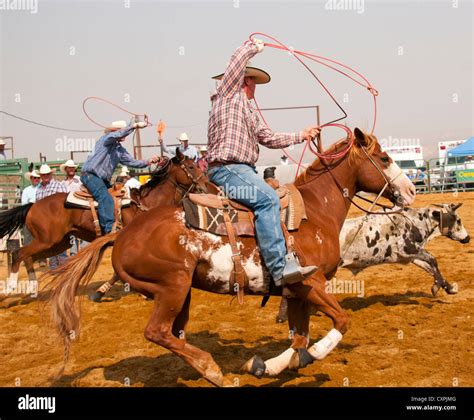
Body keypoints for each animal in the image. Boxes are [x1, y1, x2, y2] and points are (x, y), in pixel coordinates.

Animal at [0, 150, 207, 292]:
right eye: (191, 167)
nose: (205, 185)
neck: (145, 203)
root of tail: (32, 205)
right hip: (47, 240)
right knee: (18, 254)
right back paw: (11, 287)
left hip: (58, 243)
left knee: (29, 257)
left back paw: (32, 288)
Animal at [45, 129, 414, 388]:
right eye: (383, 158)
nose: (410, 191)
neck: (313, 212)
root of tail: (121, 236)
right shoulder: (312, 282)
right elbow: (340, 322)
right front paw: (302, 358)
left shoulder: (298, 292)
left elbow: (299, 338)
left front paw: (269, 365)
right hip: (173, 286)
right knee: (156, 332)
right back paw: (212, 369)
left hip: (180, 294)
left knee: (174, 334)